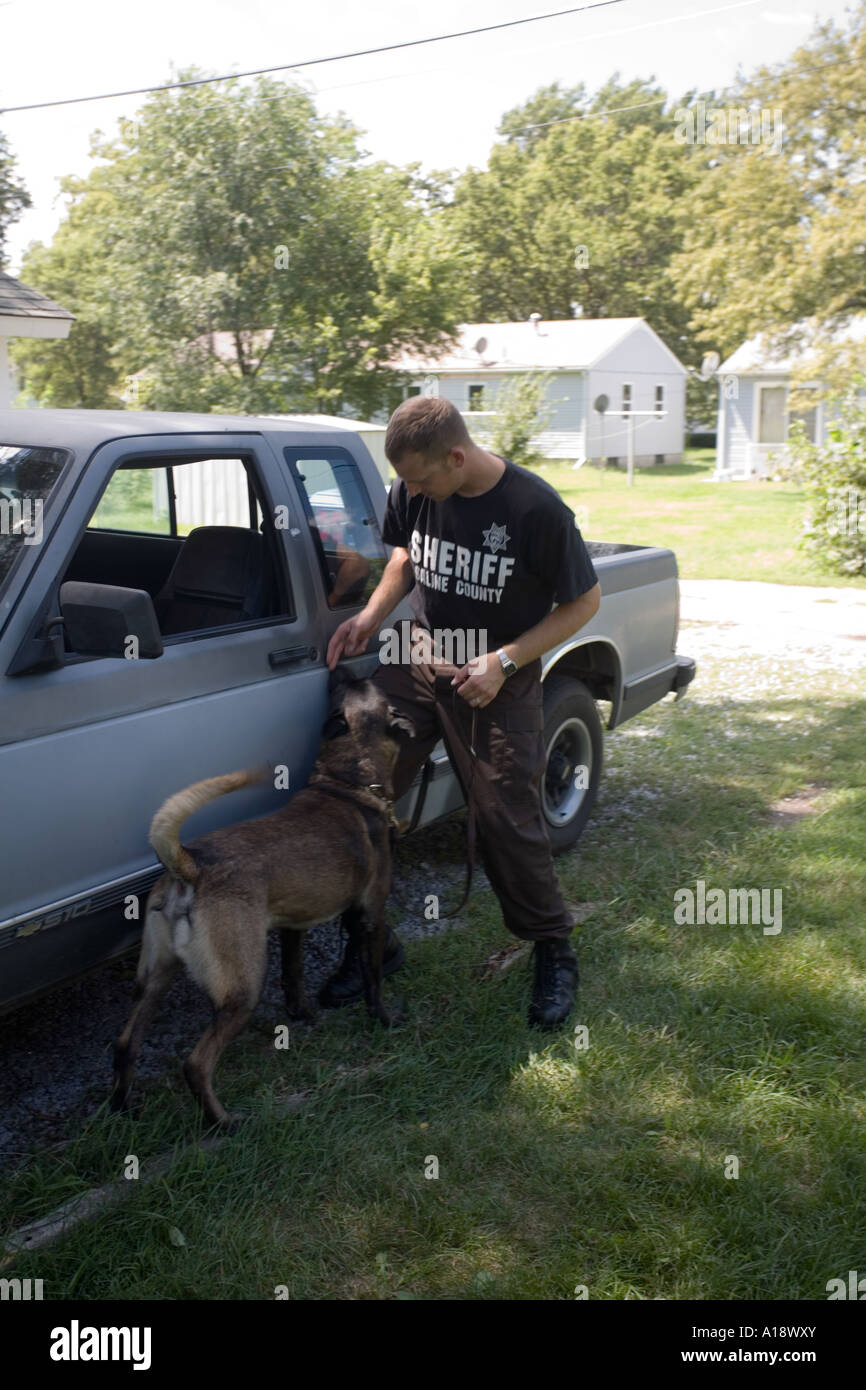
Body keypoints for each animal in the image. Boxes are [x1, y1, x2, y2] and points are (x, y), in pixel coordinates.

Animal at [109, 675, 414, 1128]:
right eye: (364, 686)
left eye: (348, 686)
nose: (342, 670)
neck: (345, 782)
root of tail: (191, 865)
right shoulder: (370, 915)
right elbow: (373, 979)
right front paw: (386, 1020)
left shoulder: (293, 926)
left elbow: (294, 975)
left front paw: (301, 1014)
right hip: (243, 986)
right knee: (196, 1063)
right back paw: (223, 1122)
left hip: (156, 976)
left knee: (126, 1042)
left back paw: (122, 1106)